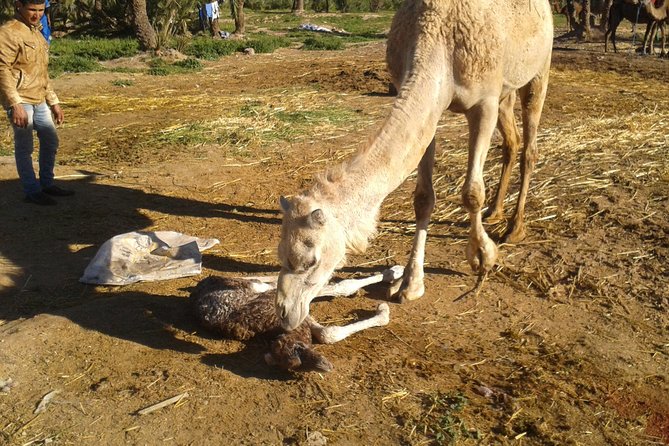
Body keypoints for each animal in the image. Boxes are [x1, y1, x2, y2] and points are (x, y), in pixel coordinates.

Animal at [188, 266, 402, 372]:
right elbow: (328, 333)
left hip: (257, 288)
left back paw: (393, 272)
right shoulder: (303, 320)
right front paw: (383, 312)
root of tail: (201, 286)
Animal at [274, 0, 552, 332]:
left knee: (530, 146)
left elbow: (472, 192)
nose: (283, 311)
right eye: (280, 253)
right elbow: (422, 198)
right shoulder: (429, 107)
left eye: (310, 260)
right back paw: (495, 212)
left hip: (539, 68)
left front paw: (483, 258)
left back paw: (514, 228)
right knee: (511, 142)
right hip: (505, 93)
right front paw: (410, 284)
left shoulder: (484, 101)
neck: (439, 38)